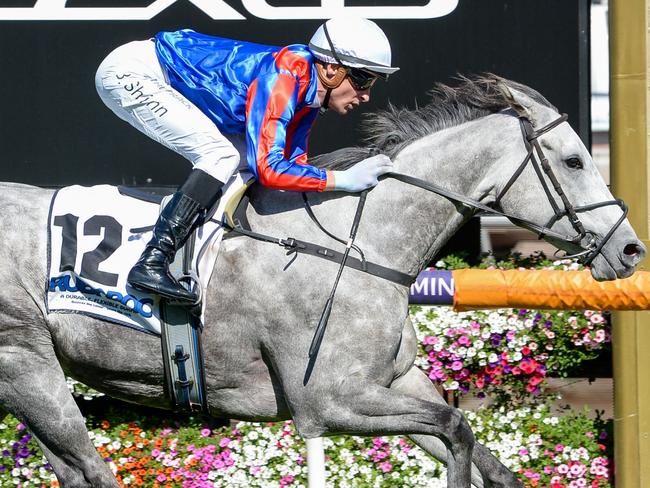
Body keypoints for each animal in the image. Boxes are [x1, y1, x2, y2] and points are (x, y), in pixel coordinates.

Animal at [0, 76, 644, 488]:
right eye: (574, 161)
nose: (630, 249)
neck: (358, 244)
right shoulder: (326, 401)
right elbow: (457, 428)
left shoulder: (396, 381)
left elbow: (482, 453)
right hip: (25, 362)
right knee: (88, 468)